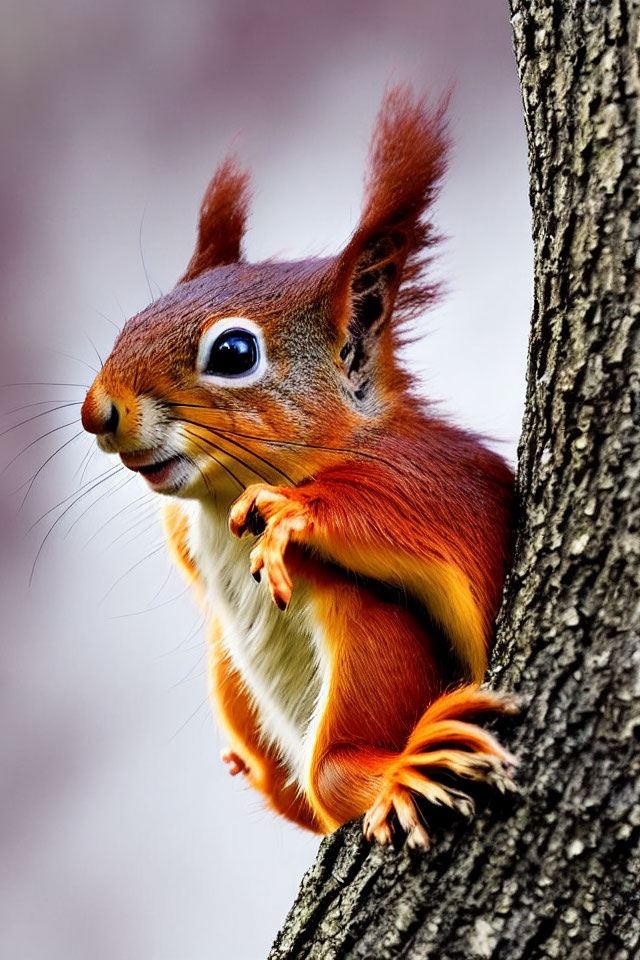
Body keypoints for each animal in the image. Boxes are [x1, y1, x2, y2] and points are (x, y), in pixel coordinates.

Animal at [82, 88, 516, 848]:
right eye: (134, 320)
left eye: (232, 353)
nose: (96, 411)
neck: (216, 500)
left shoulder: (428, 474)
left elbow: (409, 507)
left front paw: (294, 512)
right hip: (232, 679)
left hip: (369, 643)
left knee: (336, 774)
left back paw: (392, 764)